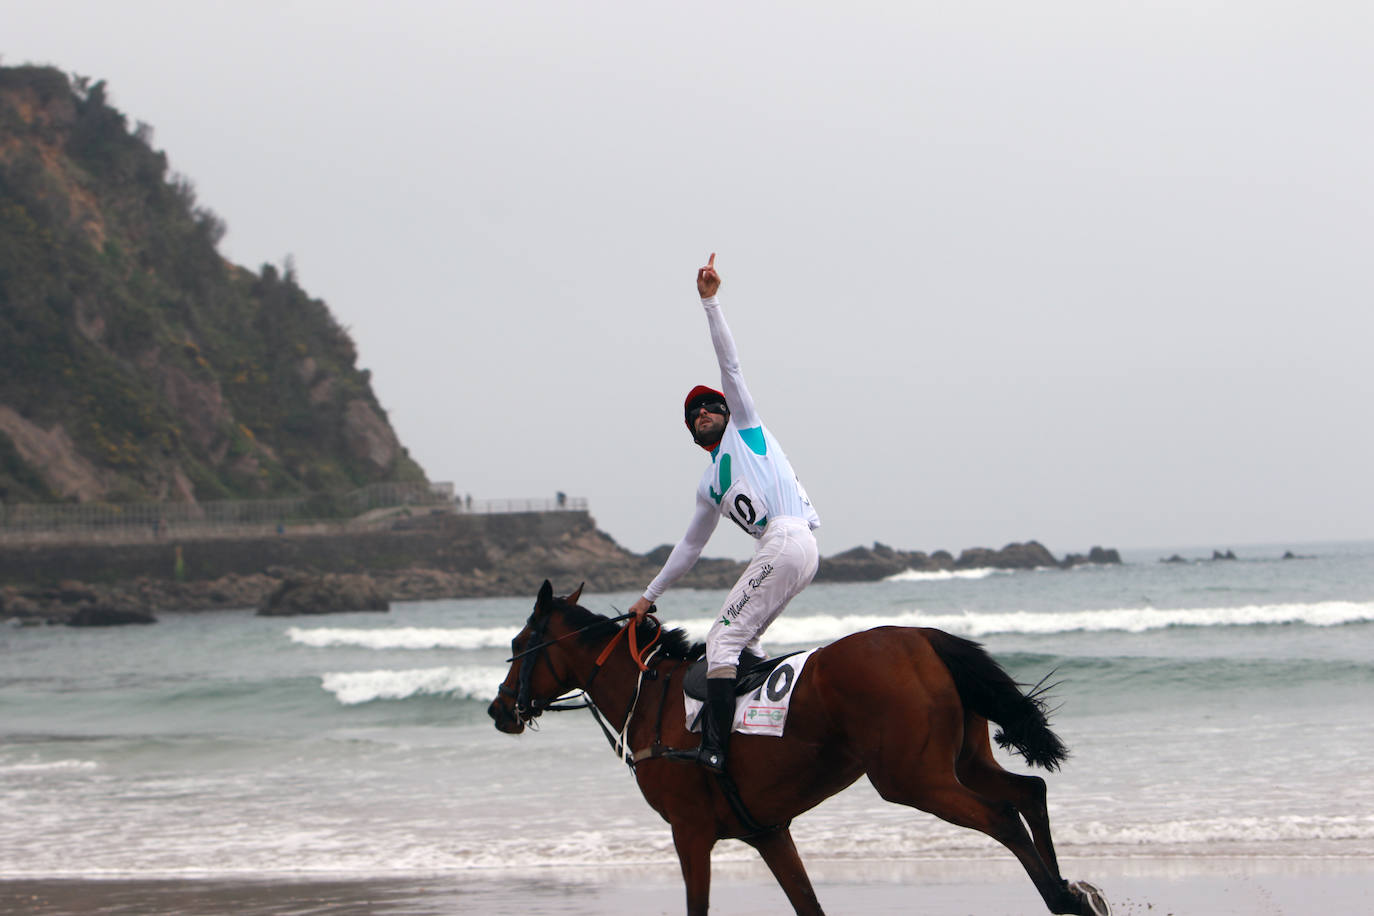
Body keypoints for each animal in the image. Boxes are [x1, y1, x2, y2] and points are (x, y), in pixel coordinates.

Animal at [489, 585, 1110, 911]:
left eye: (519, 643)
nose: (499, 709)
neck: (652, 701)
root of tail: (922, 638)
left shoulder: (690, 832)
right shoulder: (769, 832)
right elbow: (807, 902)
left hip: (913, 779)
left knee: (1002, 814)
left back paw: (1062, 897)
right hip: (963, 761)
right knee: (1028, 790)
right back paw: (1068, 887)